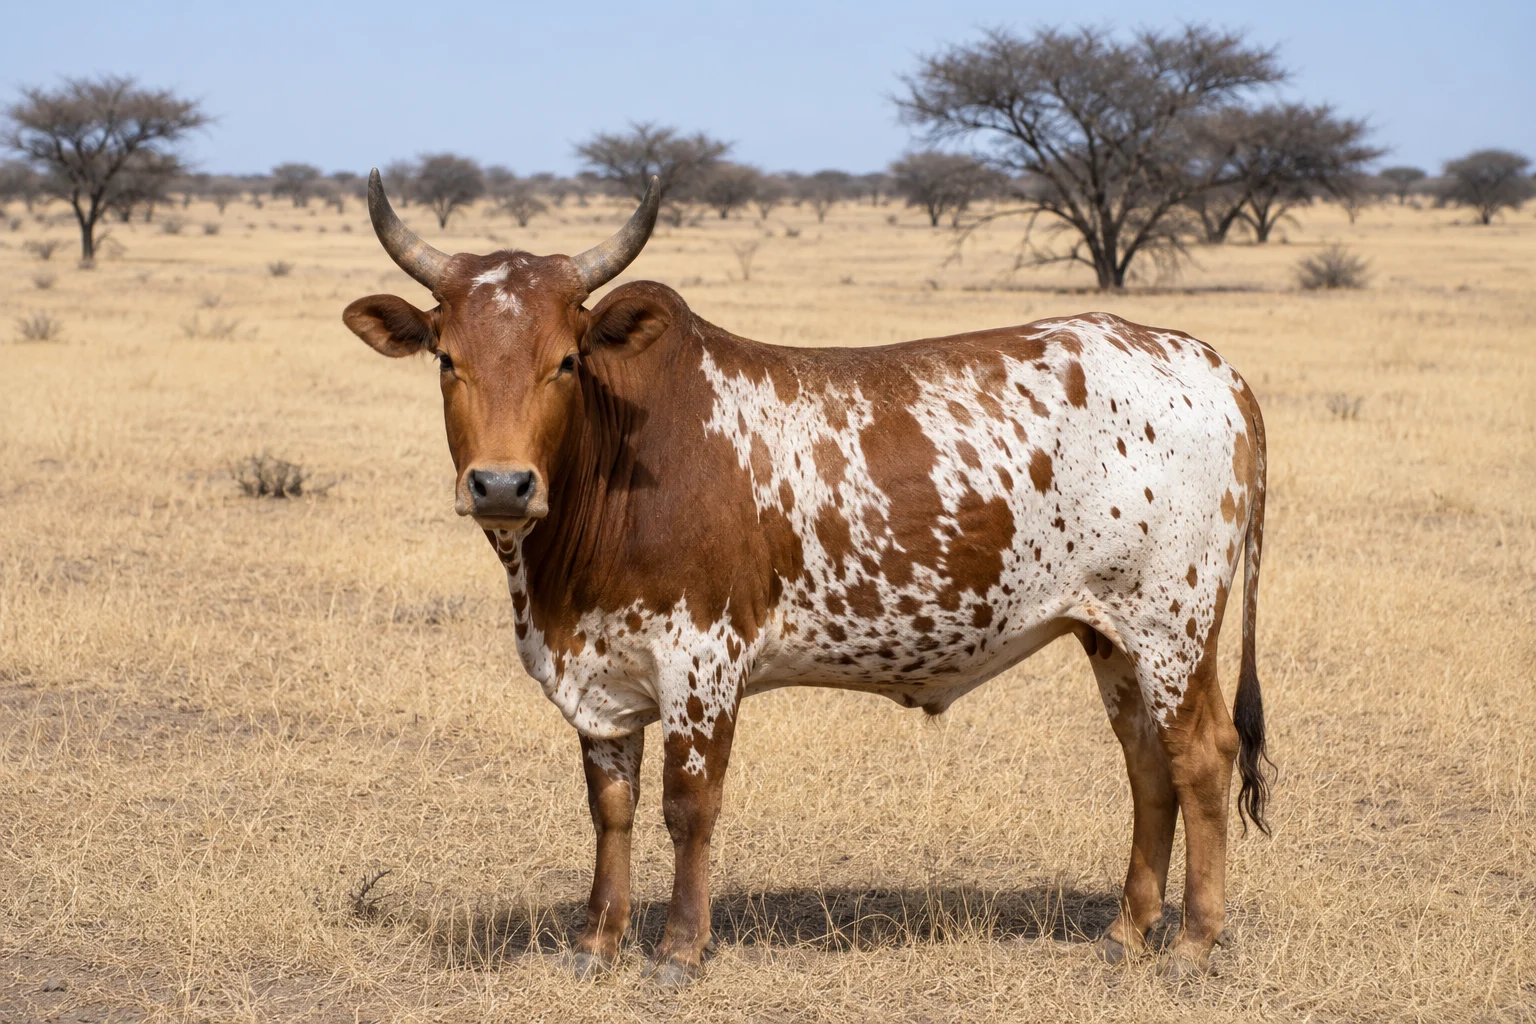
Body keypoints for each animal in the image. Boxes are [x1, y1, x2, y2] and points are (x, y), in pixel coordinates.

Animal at [342, 170, 1272, 985]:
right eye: (445, 358)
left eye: (567, 360)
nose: (501, 485)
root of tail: (1209, 363)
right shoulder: (601, 679)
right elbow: (612, 808)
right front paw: (595, 944)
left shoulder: (703, 659)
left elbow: (688, 805)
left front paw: (678, 952)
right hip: (1109, 633)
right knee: (1146, 762)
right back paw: (1126, 932)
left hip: (1173, 626)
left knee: (1201, 756)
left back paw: (1192, 944)